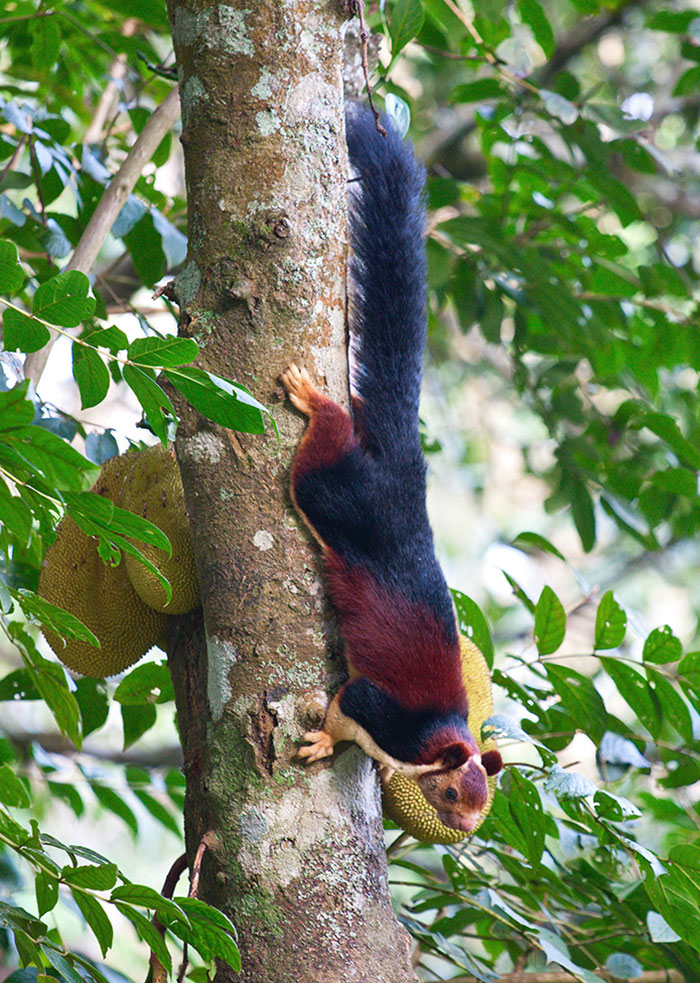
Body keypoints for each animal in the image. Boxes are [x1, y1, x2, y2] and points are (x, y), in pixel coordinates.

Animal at [280, 105, 502, 833]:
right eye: (454, 794)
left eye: (485, 800)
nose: (464, 832)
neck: (436, 738)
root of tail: (405, 477)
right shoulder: (385, 712)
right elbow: (346, 707)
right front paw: (324, 742)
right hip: (338, 497)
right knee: (316, 470)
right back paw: (318, 403)